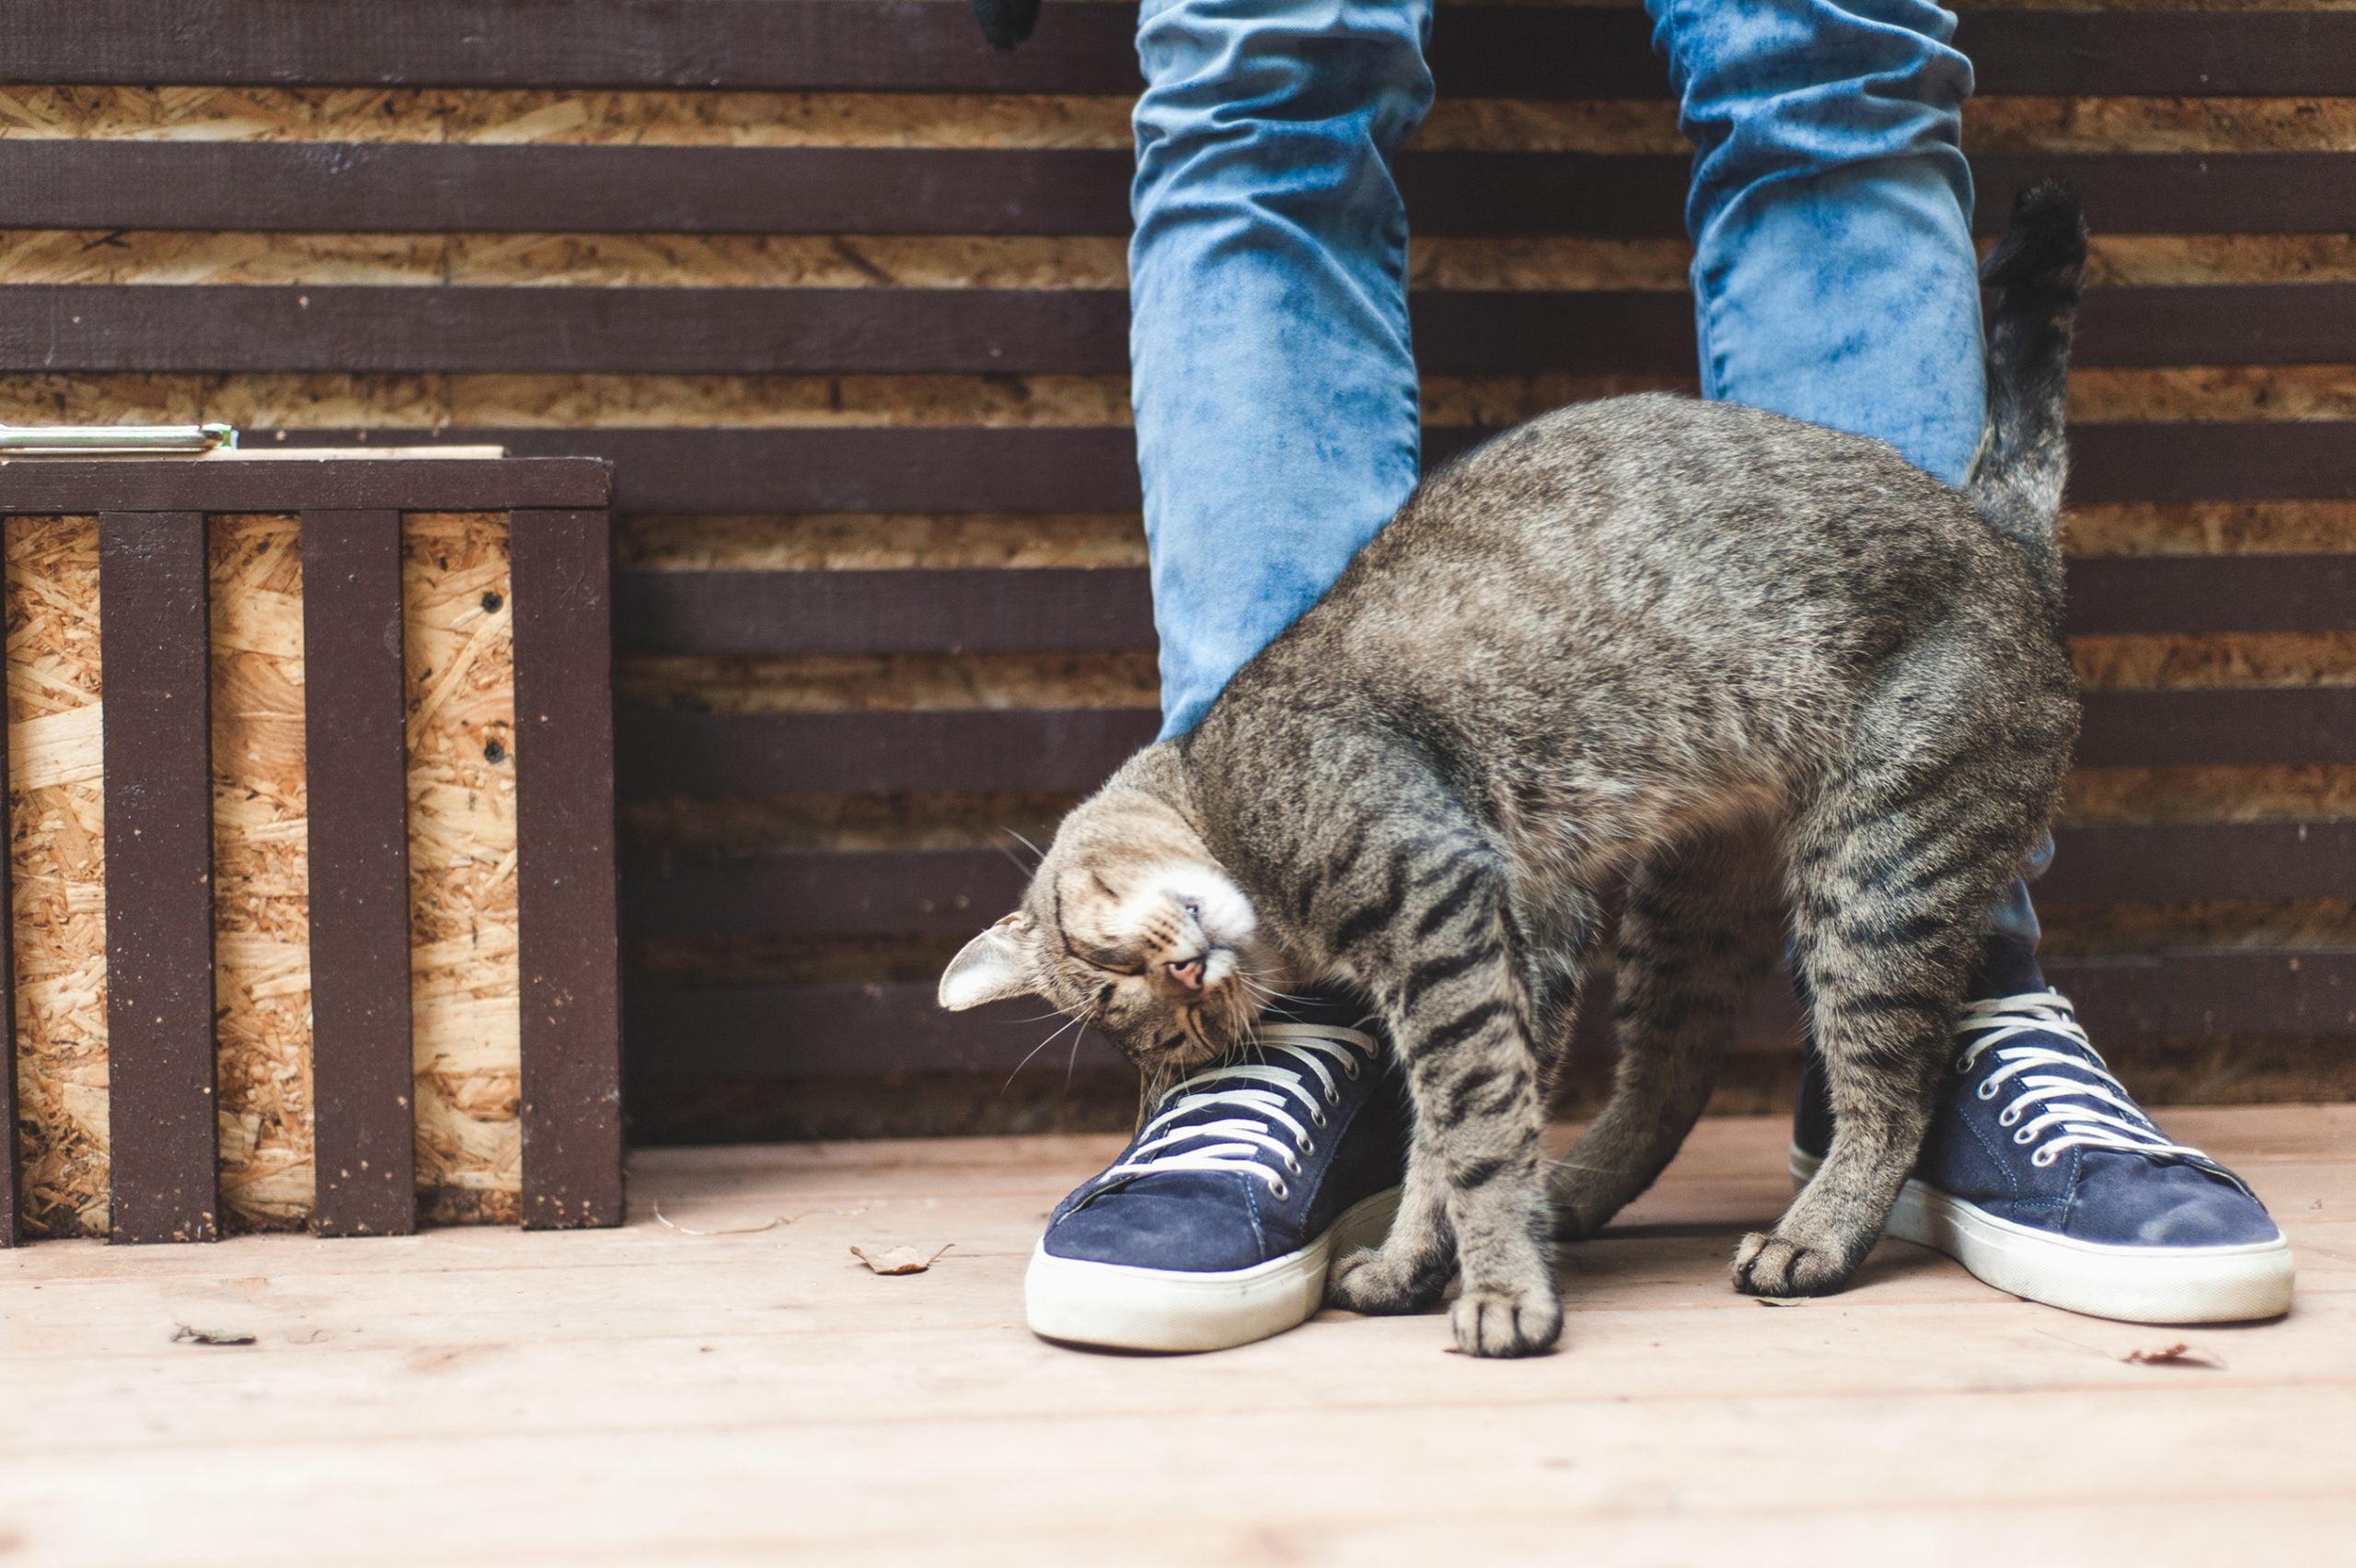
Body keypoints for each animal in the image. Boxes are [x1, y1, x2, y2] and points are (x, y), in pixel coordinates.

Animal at [932, 186, 2083, 1355]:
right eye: (1179, 1032)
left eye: (1105, 967)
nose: (1186, 978)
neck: (1222, 796)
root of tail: (2004, 536)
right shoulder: (1514, 936)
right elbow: (1455, 1134)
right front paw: (1419, 1258)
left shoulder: (1437, 911)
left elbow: (1470, 1129)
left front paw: (1495, 1290)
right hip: (1688, 904)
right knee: (1672, 1076)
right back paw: (1577, 1193)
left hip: (1880, 867)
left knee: (1893, 1092)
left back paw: (1813, 1235)